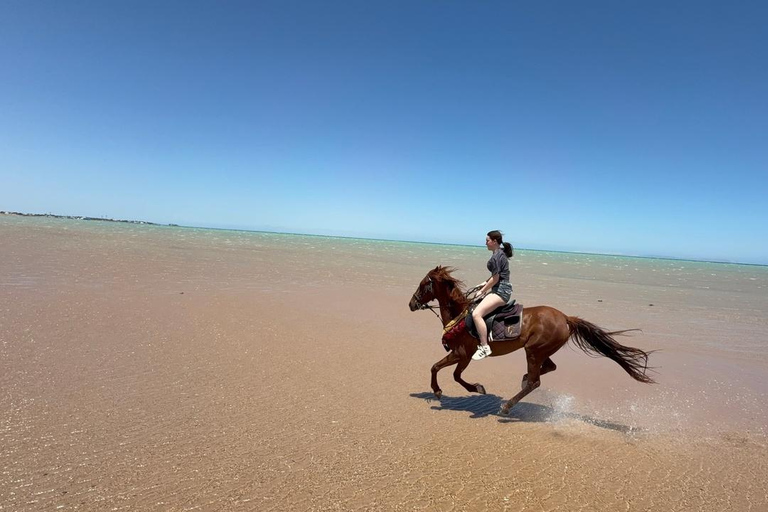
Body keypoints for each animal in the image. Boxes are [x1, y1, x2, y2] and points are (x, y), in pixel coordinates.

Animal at [408, 266, 654, 415]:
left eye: (422, 284)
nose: (411, 303)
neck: (460, 315)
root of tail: (566, 318)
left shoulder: (463, 354)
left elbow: (445, 371)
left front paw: (448, 390)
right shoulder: (462, 355)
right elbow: (446, 372)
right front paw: (468, 388)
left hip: (534, 351)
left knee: (536, 381)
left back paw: (507, 406)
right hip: (541, 350)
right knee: (547, 369)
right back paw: (523, 380)